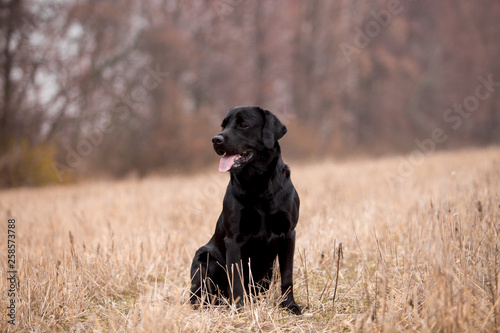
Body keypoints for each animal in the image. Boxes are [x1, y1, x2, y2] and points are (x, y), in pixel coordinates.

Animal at [189, 105, 300, 312]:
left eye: (243, 125)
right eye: (223, 125)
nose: (216, 139)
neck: (259, 185)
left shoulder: (289, 233)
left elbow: (287, 275)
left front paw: (290, 305)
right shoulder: (234, 239)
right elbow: (237, 278)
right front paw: (239, 309)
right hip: (203, 257)